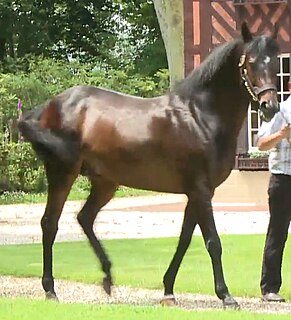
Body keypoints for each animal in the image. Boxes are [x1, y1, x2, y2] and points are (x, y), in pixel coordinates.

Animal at [18, 22, 280, 308]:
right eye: (250, 62)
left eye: (276, 61)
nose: (269, 106)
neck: (199, 116)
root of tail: (47, 108)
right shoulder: (200, 190)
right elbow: (213, 242)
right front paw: (226, 296)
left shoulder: (198, 192)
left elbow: (185, 240)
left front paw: (168, 290)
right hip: (62, 173)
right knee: (49, 224)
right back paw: (50, 289)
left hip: (105, 182)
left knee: (84, 218)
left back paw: (107, 277)